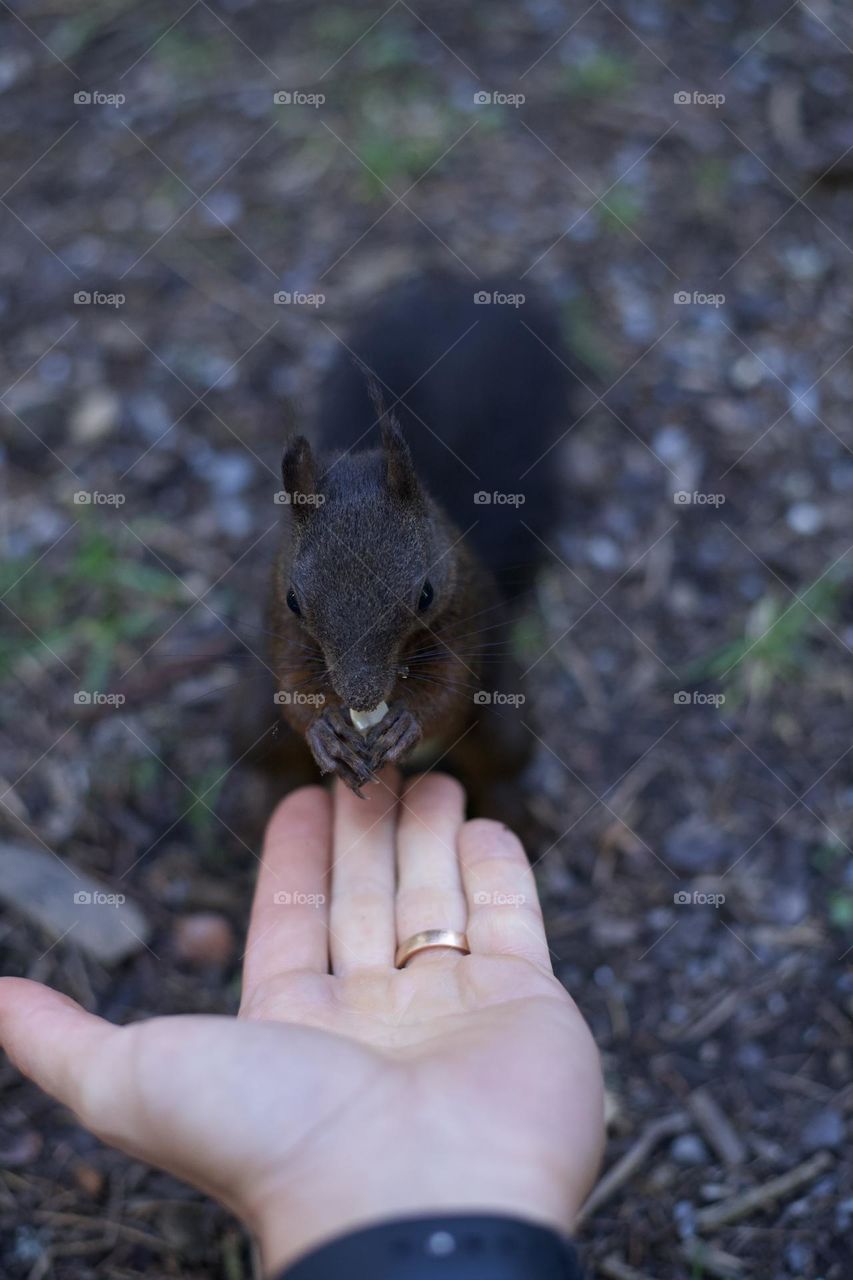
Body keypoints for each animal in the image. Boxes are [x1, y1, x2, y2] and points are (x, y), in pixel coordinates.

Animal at [266, 273, 571, 798]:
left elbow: (450, 690)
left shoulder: (464, 612)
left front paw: (408, 724)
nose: (361, 695)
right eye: (294, 601)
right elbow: (291, 683)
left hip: (503, 727)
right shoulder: (281, 624)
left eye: (425, 594)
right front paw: (325, 732)